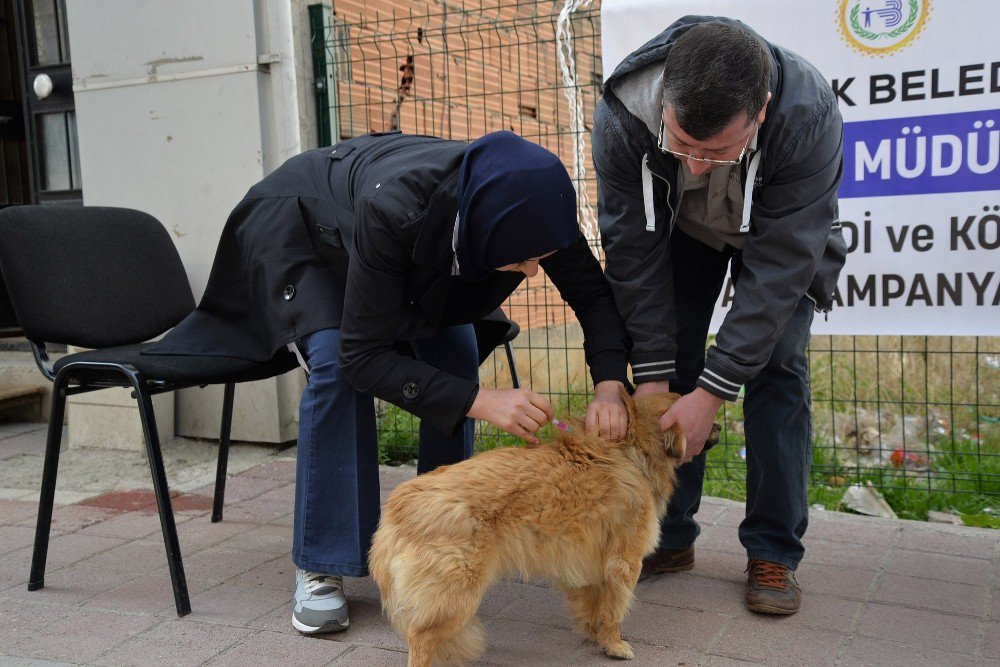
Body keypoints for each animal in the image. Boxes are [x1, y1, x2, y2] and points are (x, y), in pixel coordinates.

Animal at [372, 388, 692, 664]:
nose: (706, 425)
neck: (632, 449)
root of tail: (396, 509)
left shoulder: (585, 561)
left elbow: (592, 604)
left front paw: (594, 634)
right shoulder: (623, 563)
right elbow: (614, 610)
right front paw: (614, 644)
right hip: (458, 597)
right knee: (420, 638)